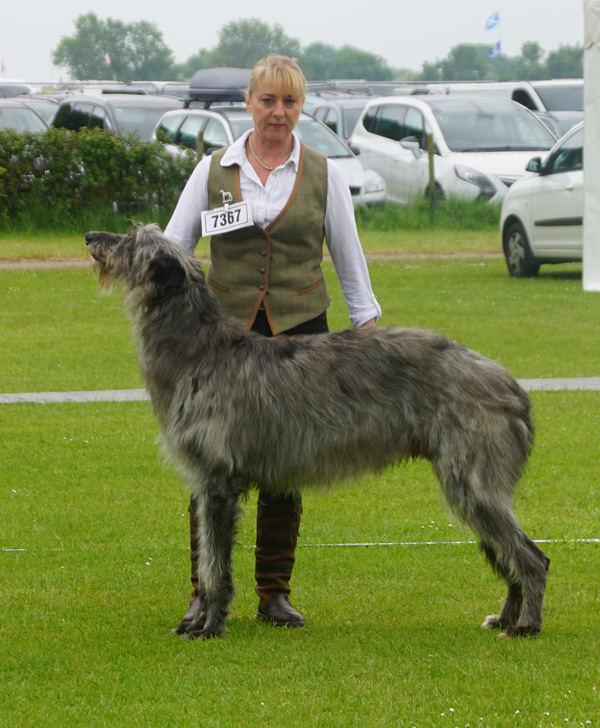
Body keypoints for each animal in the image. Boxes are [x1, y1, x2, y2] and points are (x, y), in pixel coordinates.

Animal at [86, 225, 552, 640]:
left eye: (130, 240)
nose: (91, 237)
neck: (202, 350)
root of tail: (512, 386)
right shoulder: (206, 485)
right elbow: (206, 561)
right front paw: (196, 621)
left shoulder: (217, 482)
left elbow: (216, 567)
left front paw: (210, 627)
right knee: (511, 556)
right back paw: (505, 618)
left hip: (472, 481)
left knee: (532, 558)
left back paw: (526, 625)